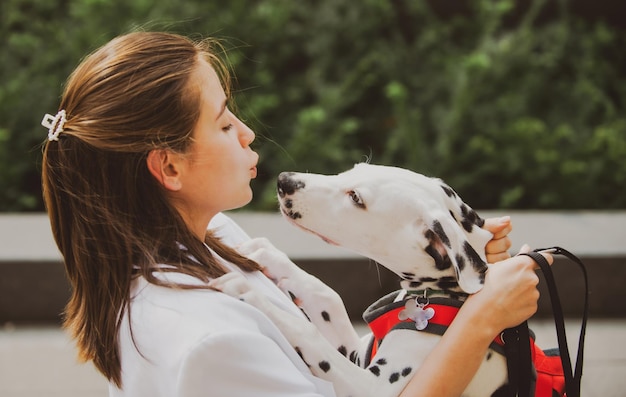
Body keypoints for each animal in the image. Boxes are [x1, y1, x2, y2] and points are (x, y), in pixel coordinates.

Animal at [210, 162, 508, 396]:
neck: (444, 293)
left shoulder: (371, 386)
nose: (285, 180)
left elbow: (307, 331)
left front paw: (248, 291)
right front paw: (269, 254)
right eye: (354, 169)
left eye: (355, 198)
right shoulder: (355, 354)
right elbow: (326, 294)